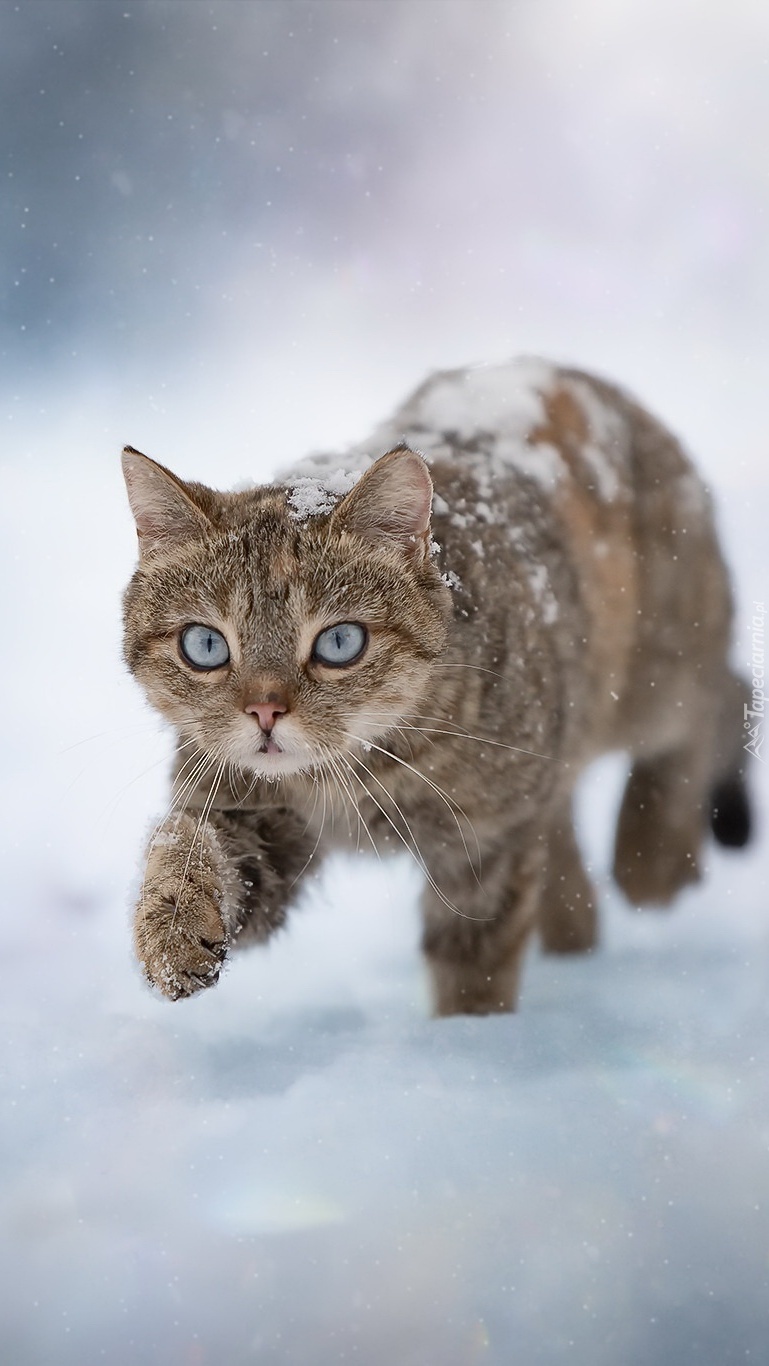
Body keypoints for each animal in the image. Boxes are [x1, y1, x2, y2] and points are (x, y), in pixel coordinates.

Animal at [121, 357, 753, 1021]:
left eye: (339, 642)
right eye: (205, 645)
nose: (264, 710)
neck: (355, 778)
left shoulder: (488, 839)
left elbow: (475, 960)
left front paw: (468, 1036)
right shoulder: (242, 802)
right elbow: (183, 840)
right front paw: (171, 927)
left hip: (657, 667)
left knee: (712, 701)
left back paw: (652, 854)